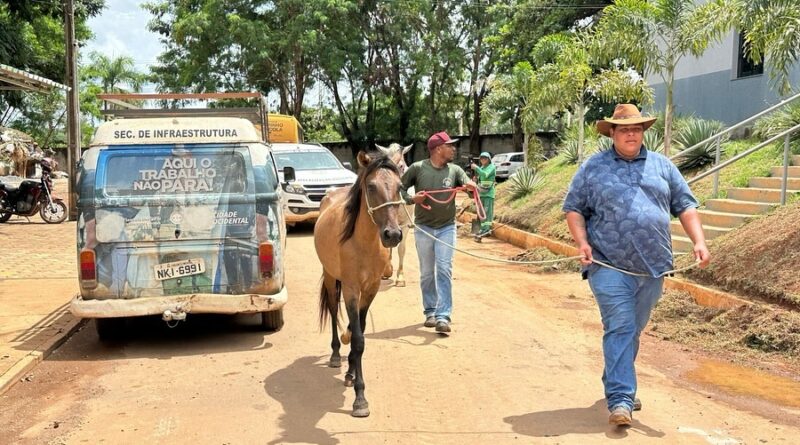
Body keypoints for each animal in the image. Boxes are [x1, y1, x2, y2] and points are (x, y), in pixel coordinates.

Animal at [314, 150, 404, 416]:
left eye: (399, 187)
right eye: (371, 186)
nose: (392, 235)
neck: (363, 243)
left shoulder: (371, 288)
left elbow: (359, 331)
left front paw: (352, 372)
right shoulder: (352, 289)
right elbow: (358, 339)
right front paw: (360, 398)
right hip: (331, 277)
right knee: (334, 310)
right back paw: (336, 354)